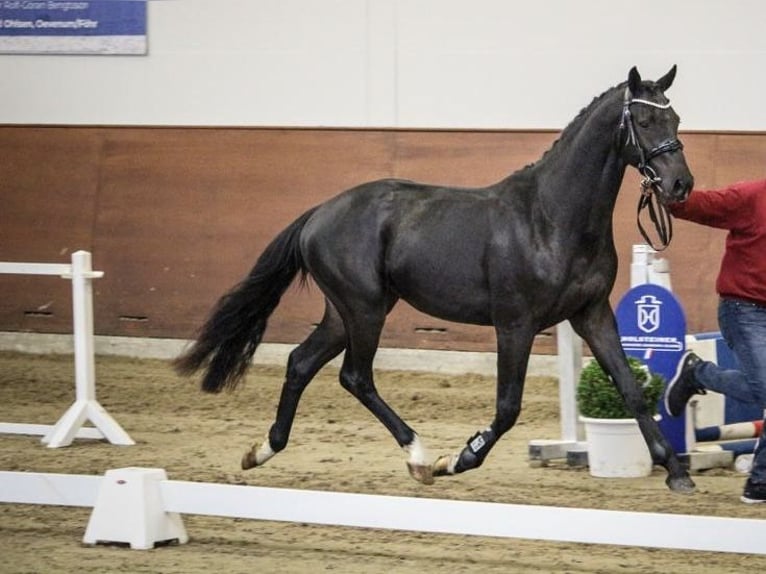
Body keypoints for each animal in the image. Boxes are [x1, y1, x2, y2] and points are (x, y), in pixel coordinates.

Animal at [177, 66, 700, 496]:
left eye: (676, 120)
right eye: (645, 122)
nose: (680, 186)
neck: (551, 218)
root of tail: (319, 213)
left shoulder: (591, 314)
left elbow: (630, 389)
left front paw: (677, 472)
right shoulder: (516, 324)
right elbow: (508, 407)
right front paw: (460, 458)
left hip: (347, 313)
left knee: (301, 363)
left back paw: (262, 451)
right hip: (364, 310)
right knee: (354, 376)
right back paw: (419, 457)